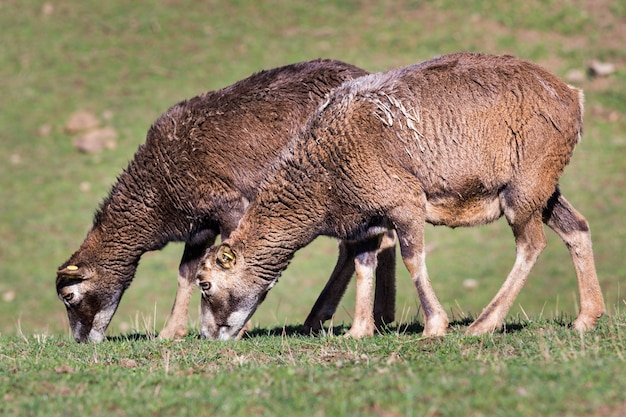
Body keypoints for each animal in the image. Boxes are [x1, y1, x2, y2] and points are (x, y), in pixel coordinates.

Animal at [54, 59, 394, 344]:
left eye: (69, 296)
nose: (80, 341)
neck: (157, 191)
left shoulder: (230, 206)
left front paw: (237, 327)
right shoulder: (200, 226)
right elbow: (186, 271)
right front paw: (170, 333)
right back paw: (364, 317)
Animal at [196, 52, 604, 340]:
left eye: (206, 284)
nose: (208, 334)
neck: (323, 171)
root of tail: (572, 97)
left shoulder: (404, 202)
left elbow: (412, 258)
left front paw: (435, 325)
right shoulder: (365, 222)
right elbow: (364, 263)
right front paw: (359, 331)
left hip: (523, 189)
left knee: (531, 244)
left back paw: (484, 324)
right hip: (544, 188)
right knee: (577, 227)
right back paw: (587, 317)